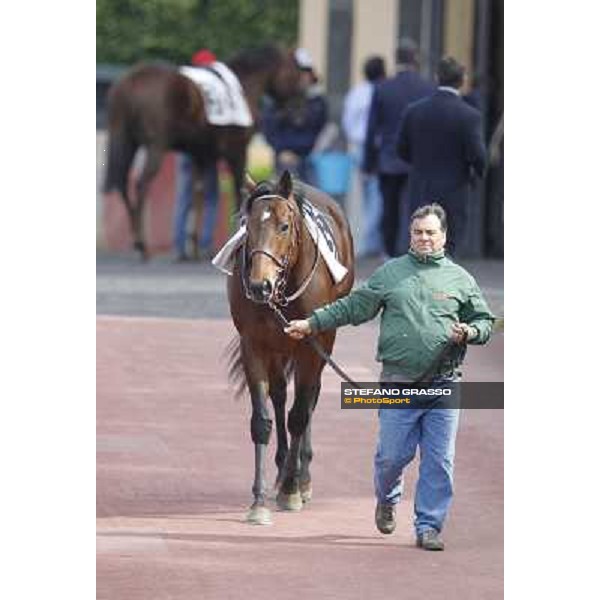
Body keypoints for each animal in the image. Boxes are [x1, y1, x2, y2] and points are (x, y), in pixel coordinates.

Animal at [102, 45, 304, 258]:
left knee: (123, 185)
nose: (299, 109)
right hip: (155, 146)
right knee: (141, 186)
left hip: (126, 142)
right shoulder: (237, 151)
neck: (244, 86)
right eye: (294, 72)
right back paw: (142, 245)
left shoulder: (199, 155)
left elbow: (197, 194)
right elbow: (238, 190)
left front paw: (195, 246)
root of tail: (131, 82)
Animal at [227, 170, 354, 524]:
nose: (259, 285)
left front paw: (292, 490)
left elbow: (300, 414)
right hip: (279, 347)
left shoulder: (312, 346)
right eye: (247, 225)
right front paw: (258, 502)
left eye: (284, 225)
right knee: (281, 394)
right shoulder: (254, 344)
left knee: (309, 399)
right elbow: (262, 421)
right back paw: (283, 465)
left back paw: (300, 474)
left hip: (320, 342)